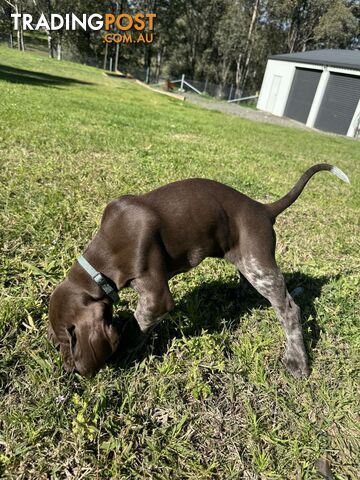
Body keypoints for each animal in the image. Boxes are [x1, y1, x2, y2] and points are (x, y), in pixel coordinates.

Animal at [48, 165, 348, 378]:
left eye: (67, 341)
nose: (68, 371)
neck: (104, 257)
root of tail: (262, 209)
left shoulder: (156, 296)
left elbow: (136, 325)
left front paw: (124, 353)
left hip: (258, 265)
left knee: (289, 309)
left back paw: (298, 360)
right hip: (246, 262)